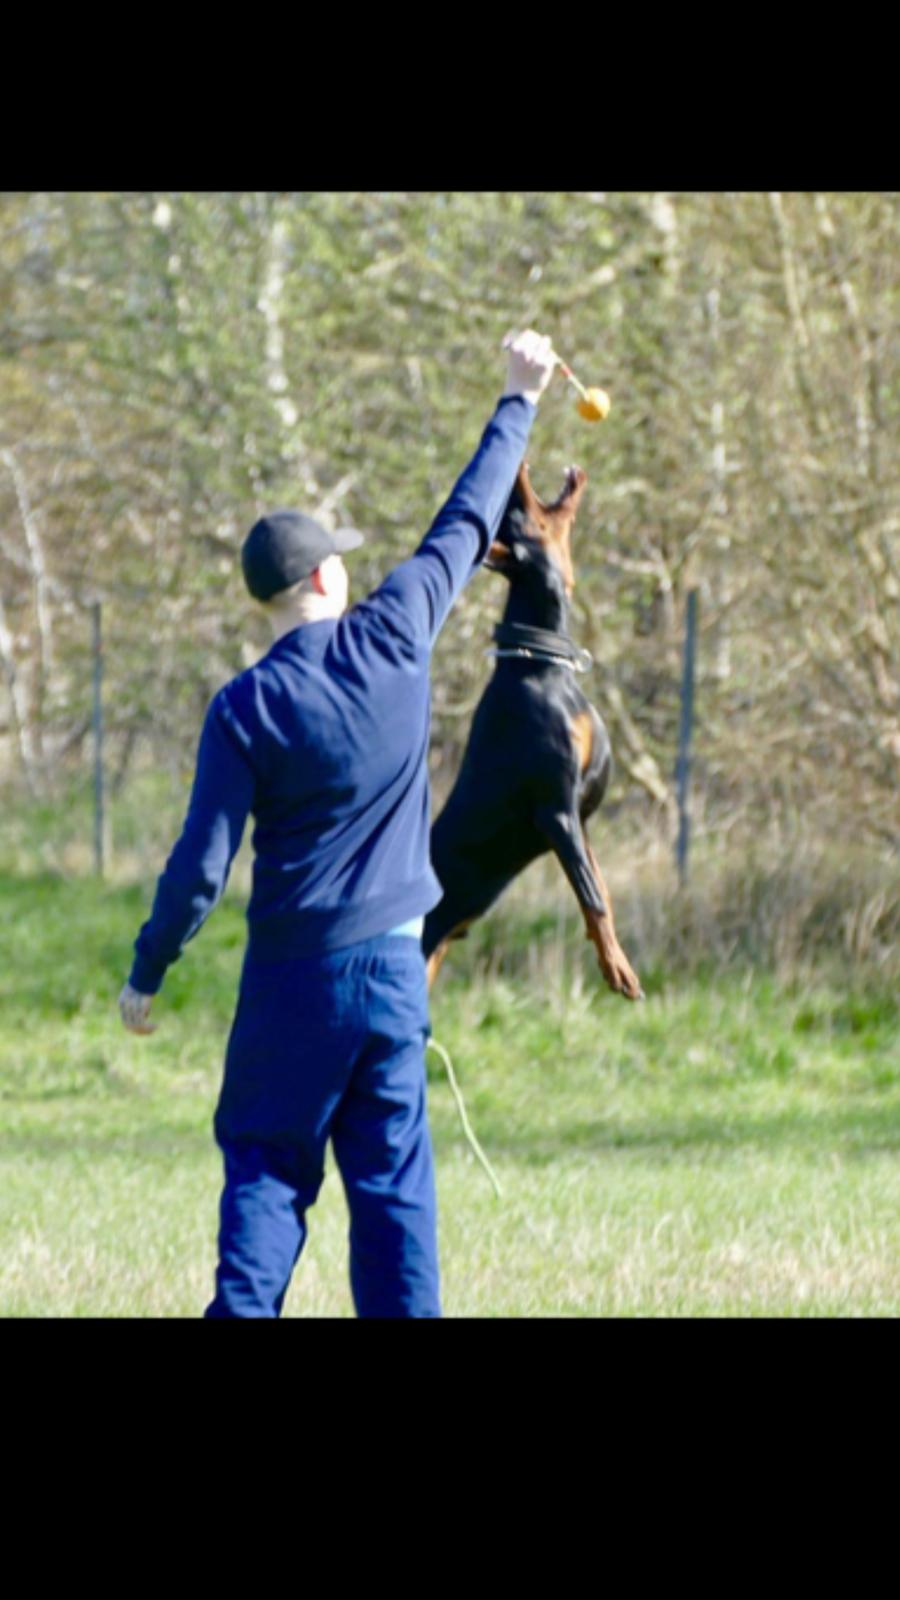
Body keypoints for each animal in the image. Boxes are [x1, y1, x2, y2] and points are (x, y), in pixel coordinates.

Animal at [422, 457, 640, 998]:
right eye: (521, 521)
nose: (515, 466)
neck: (541, 665)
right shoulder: (556, 812)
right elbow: (593, 897)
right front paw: (617, 968)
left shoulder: (581, 818)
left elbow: (600, 890)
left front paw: (609, 956)